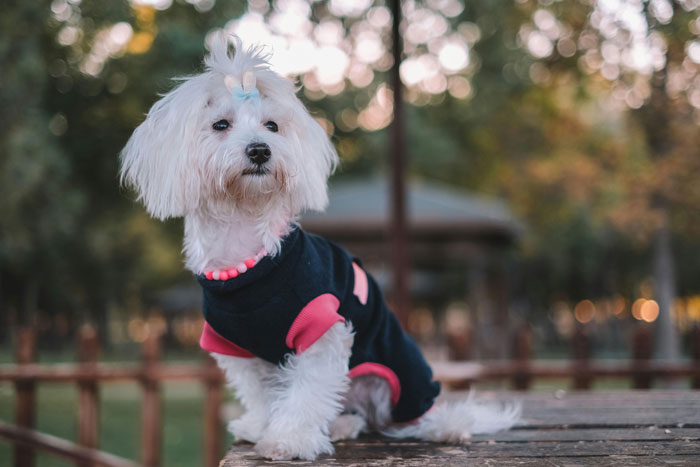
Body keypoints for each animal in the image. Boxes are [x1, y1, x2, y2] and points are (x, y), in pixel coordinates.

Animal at [121, 35, 520, 460]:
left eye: (272, 126)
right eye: (220, 125)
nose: (260, 150)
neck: (249, 260)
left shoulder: (320, 326)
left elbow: (307, 392)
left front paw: (289, 439)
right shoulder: (235, 346)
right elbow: (261, 394)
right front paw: (261, 426)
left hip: (401, 372)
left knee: (408, 415)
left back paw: (445, 427)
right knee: (357, 413)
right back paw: (343, 425)